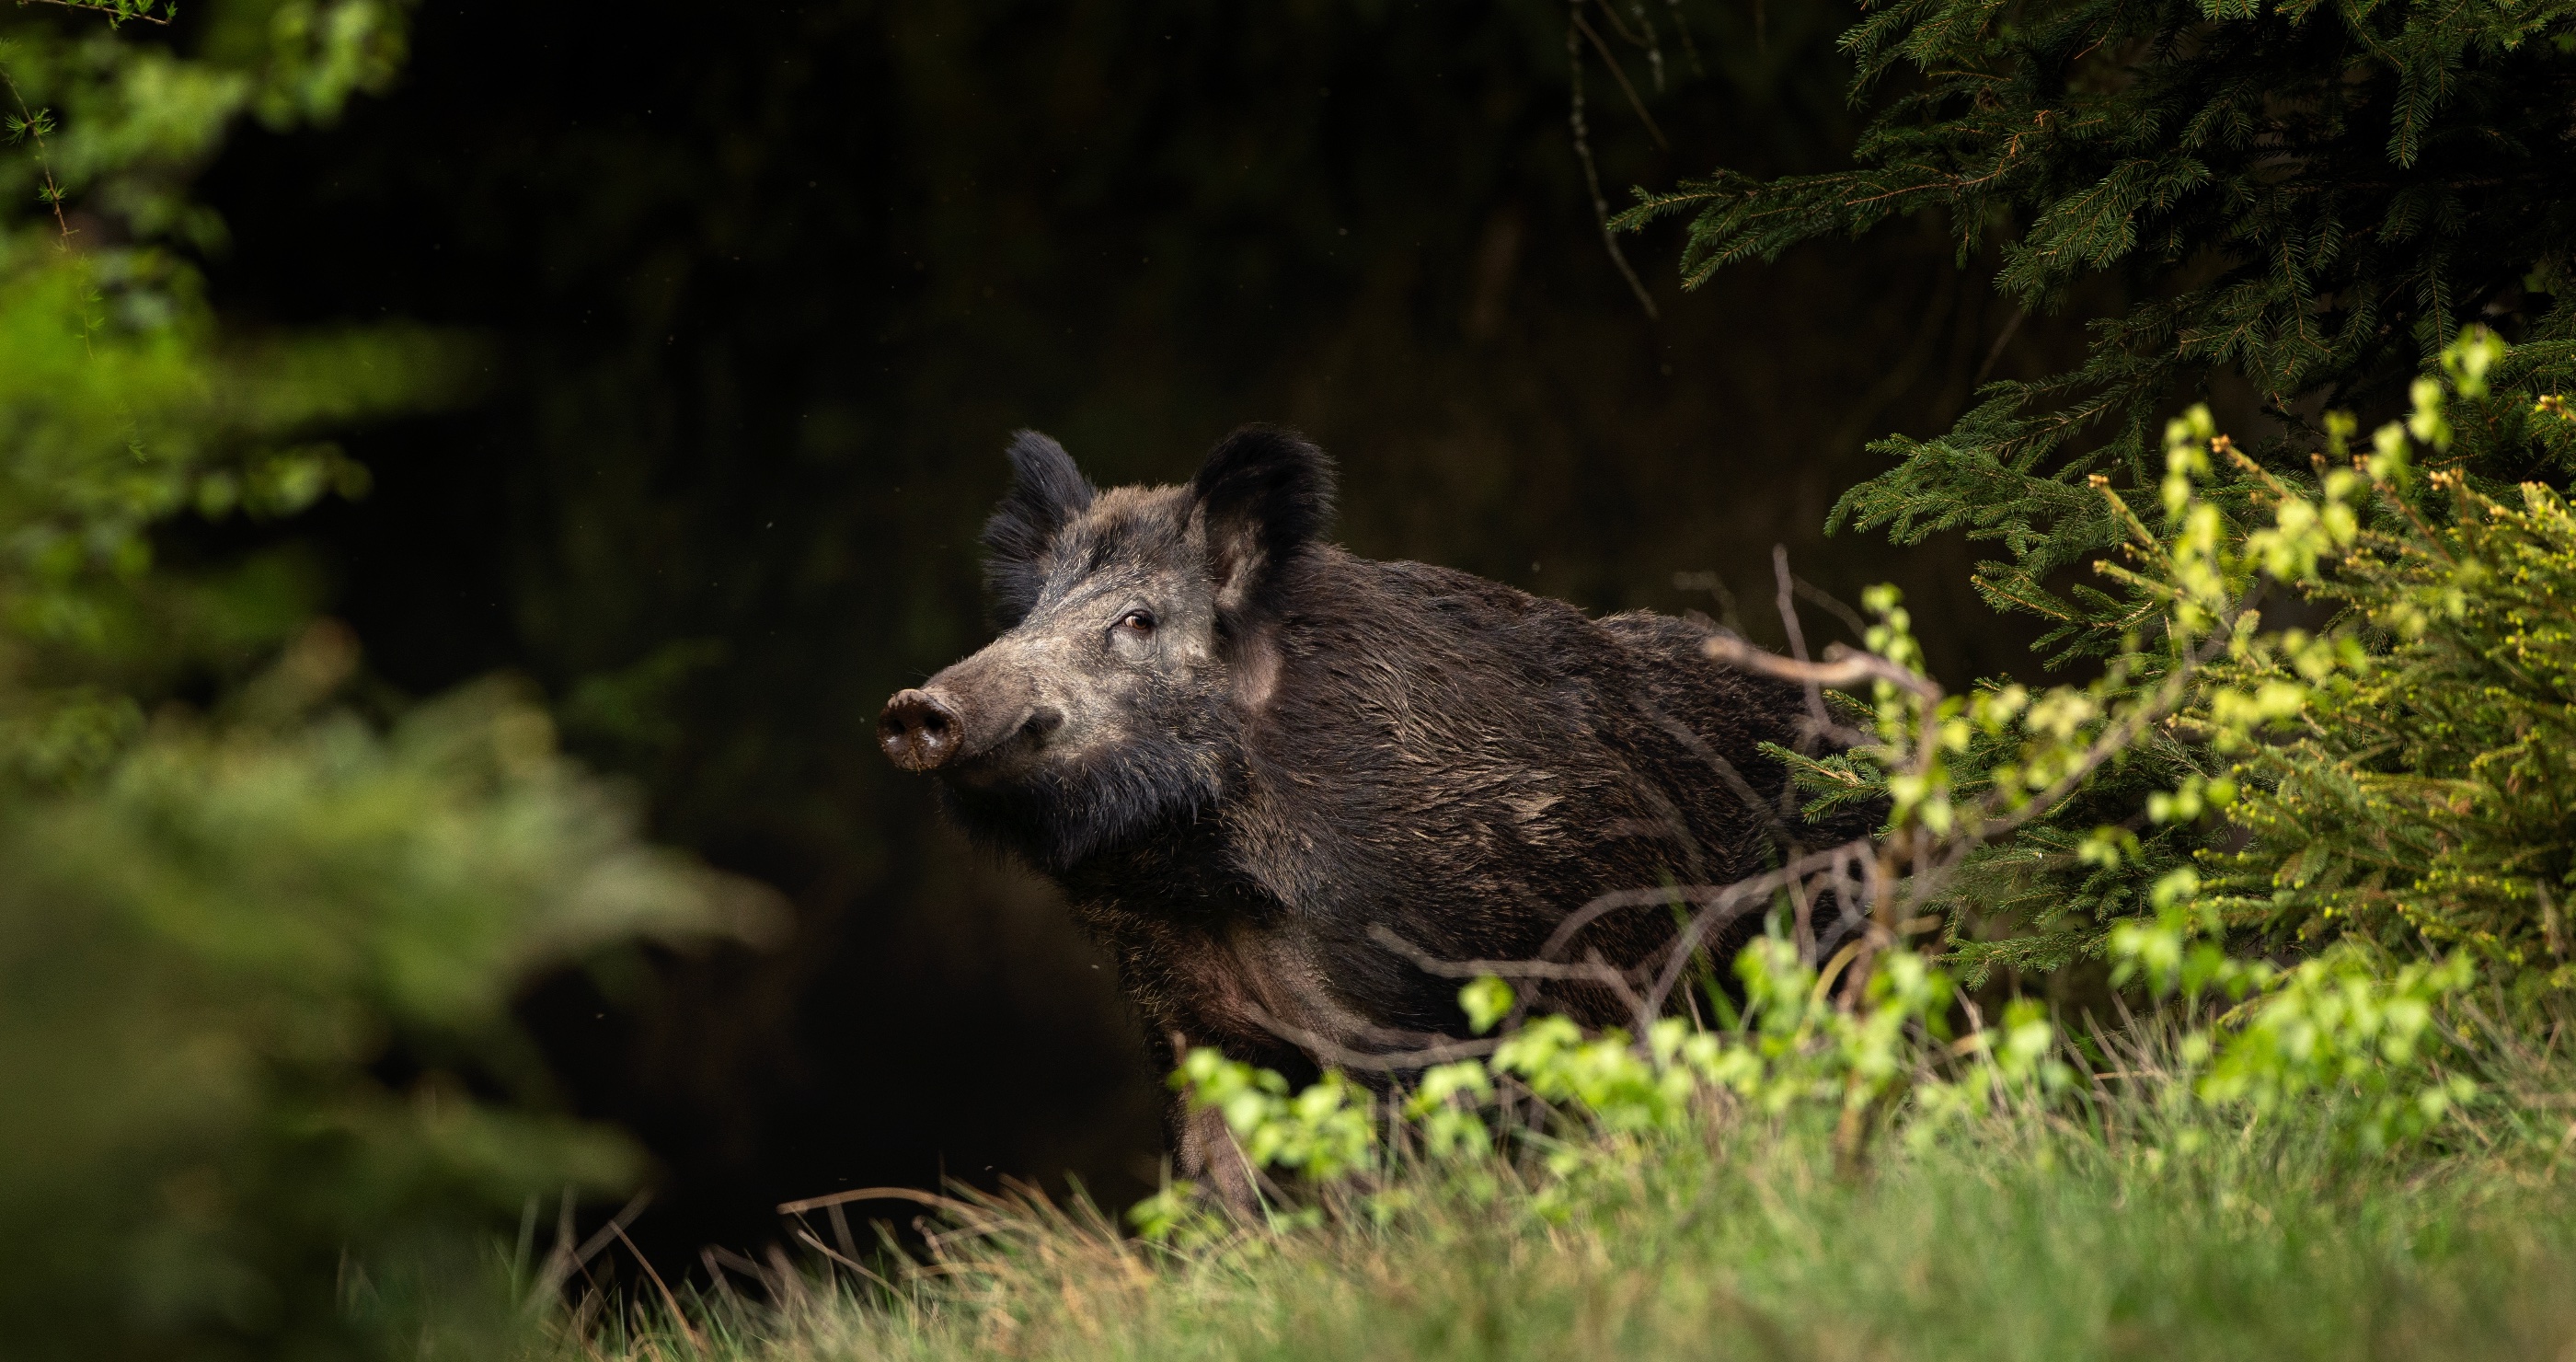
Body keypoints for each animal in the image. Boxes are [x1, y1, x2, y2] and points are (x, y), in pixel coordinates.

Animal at [878, 426, 1869, 1199]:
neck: (1206, 890)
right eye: (1033, 612)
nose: (917, 705)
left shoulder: (1413, 1010)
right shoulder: (1186, 1021)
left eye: (1136, 620)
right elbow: (1217, 1175)